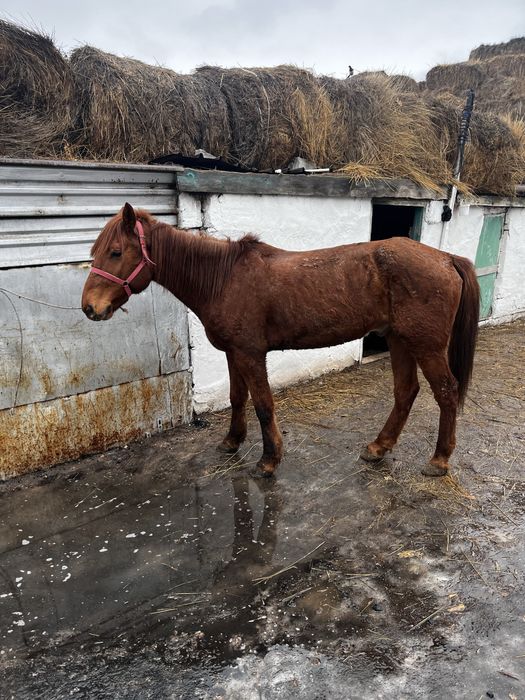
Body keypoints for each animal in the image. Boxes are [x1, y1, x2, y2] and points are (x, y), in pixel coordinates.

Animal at [81, 203, 480, 478]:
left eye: (116, 252)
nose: (89, 308)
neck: (223, 278)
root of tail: (446, 258)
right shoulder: (233, 354)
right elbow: (237, 398)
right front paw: (232, 441)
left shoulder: (251, 354)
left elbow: (263, 405)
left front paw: (269, 460)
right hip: (399, 340)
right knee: (405, 392)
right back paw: (378, 447)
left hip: (426, 345)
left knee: (446, 392)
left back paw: (439, 460)